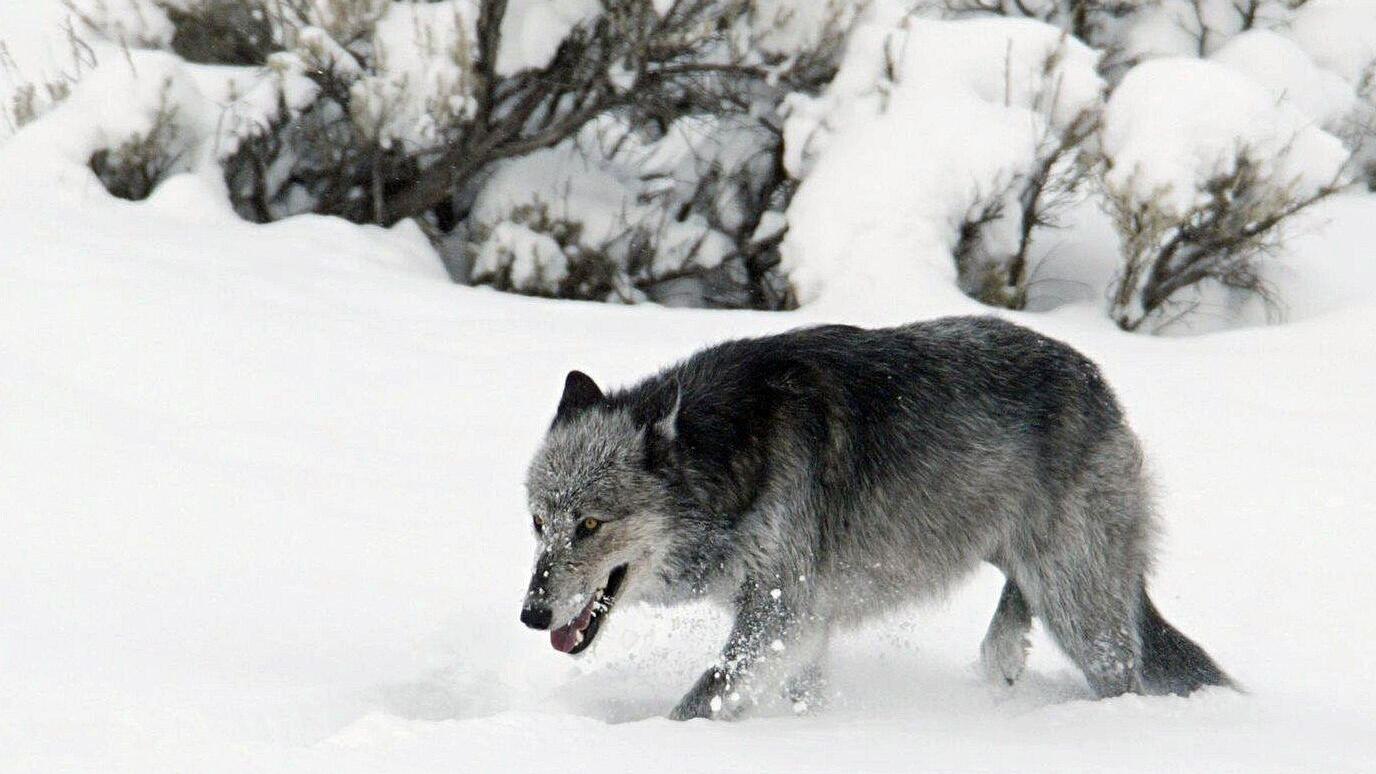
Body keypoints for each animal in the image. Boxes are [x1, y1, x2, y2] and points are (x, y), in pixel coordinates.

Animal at [518, 316, 1231, 720]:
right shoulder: (796, 629)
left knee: (1122, 674)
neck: (732, 457)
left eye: (590, 525)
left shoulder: (782, 616)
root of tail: (1099, 384)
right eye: (539, 523)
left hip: (1080, 608)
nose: (531, 614)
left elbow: (699, 702)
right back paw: (1002, 658)